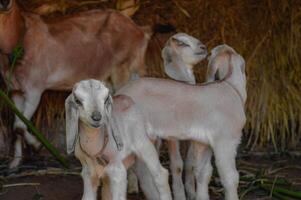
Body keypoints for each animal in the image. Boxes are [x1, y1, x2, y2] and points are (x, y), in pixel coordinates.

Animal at [0, 0, 149, 169]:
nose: (5, 3)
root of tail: (141, 32)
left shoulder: (34, 89)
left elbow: (19, 126)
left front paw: (37, 145)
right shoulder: (15, 91)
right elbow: (16, 127)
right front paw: (14, 163)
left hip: (124, 70)